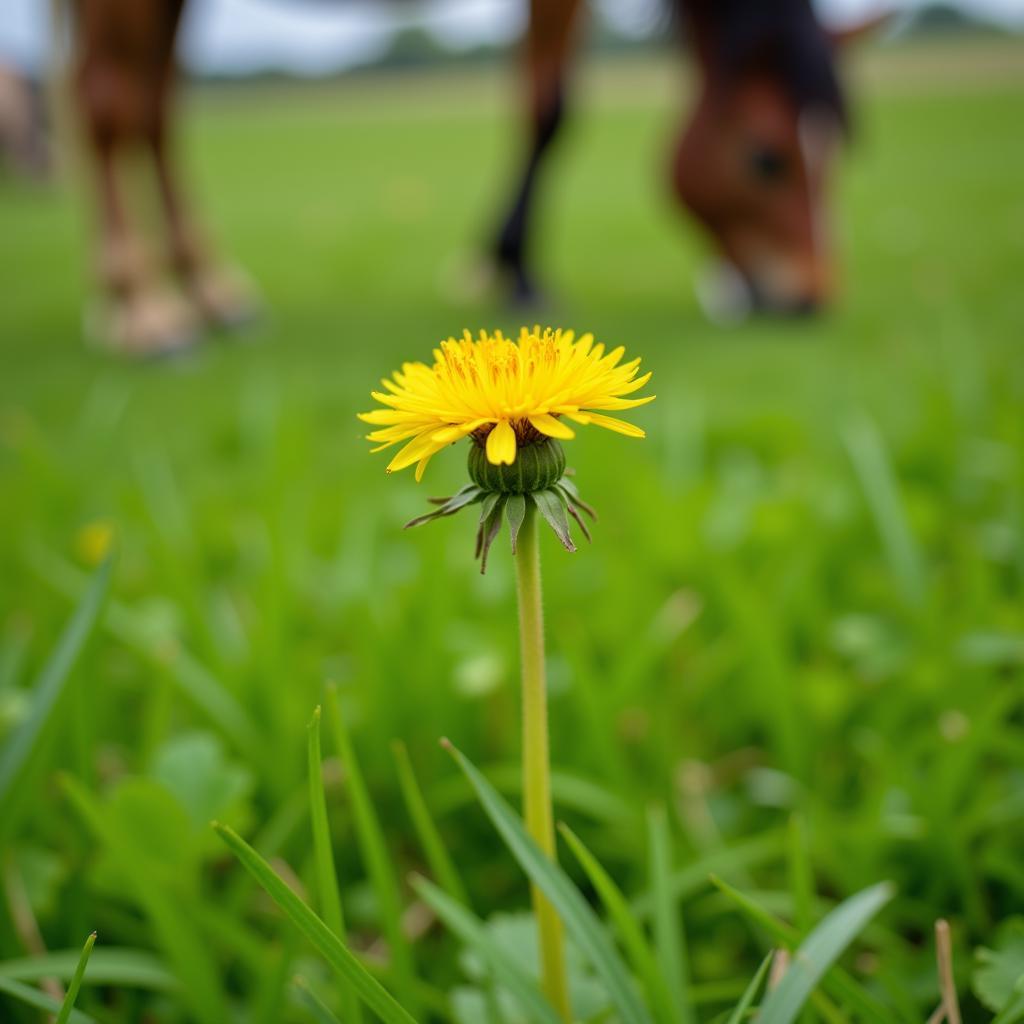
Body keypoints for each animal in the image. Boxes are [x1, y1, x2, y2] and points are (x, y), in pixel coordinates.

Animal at [70, 2, 872, 356]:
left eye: (844, 152)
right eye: (765, 156)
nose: (809, 298)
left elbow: (544, 101)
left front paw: (505, 267)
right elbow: (550, 110)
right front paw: (512, 269)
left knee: (154, 105)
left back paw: (212, 293)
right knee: (117, 99)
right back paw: (147, 310)